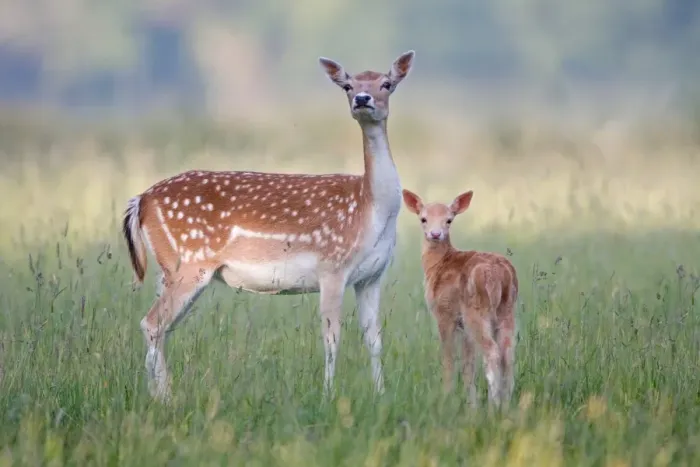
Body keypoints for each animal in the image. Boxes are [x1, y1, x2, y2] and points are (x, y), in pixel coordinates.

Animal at [122, 51, 416, 402]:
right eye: (348, 85)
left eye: (386, 83)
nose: (361, 98)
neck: (372, 211)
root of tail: (141, 199)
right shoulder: (332, 267)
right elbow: (332, 338)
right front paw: (328, 395)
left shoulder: (371, 276)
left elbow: (374, 339)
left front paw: (381, 394)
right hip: (189, 264)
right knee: (152, 323)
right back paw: (166, 397)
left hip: (167, 269)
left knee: (161, 327)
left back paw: (156, 395)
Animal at [401, 188, 519, 409]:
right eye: (423, 218)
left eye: (449, 220)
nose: (435, 234)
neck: (437, 266)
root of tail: (501, 274)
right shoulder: (463, 325)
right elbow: (467, 366)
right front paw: (471, 405)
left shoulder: (444, 314)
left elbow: (448, 360)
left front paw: (446, 398)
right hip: (507, 311)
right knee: (507, 353)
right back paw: (506, 405)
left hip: (477, 312)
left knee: (492, 352)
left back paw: (494, 406)